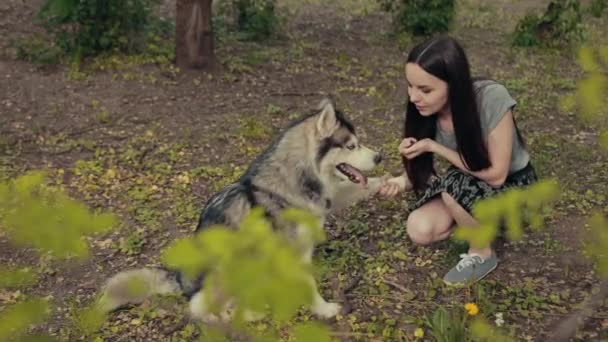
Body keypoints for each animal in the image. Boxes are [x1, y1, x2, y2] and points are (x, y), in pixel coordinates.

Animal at [97, 98, 394, 320]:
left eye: (359, 142)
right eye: (351, 145)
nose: (379, 156)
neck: (295, 178)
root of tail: (182, 281)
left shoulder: (329, 199)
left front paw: (393, 182)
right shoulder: (294, 253)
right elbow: (309, 285)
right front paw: (324, 309)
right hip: (230, 266)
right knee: (202, 308)